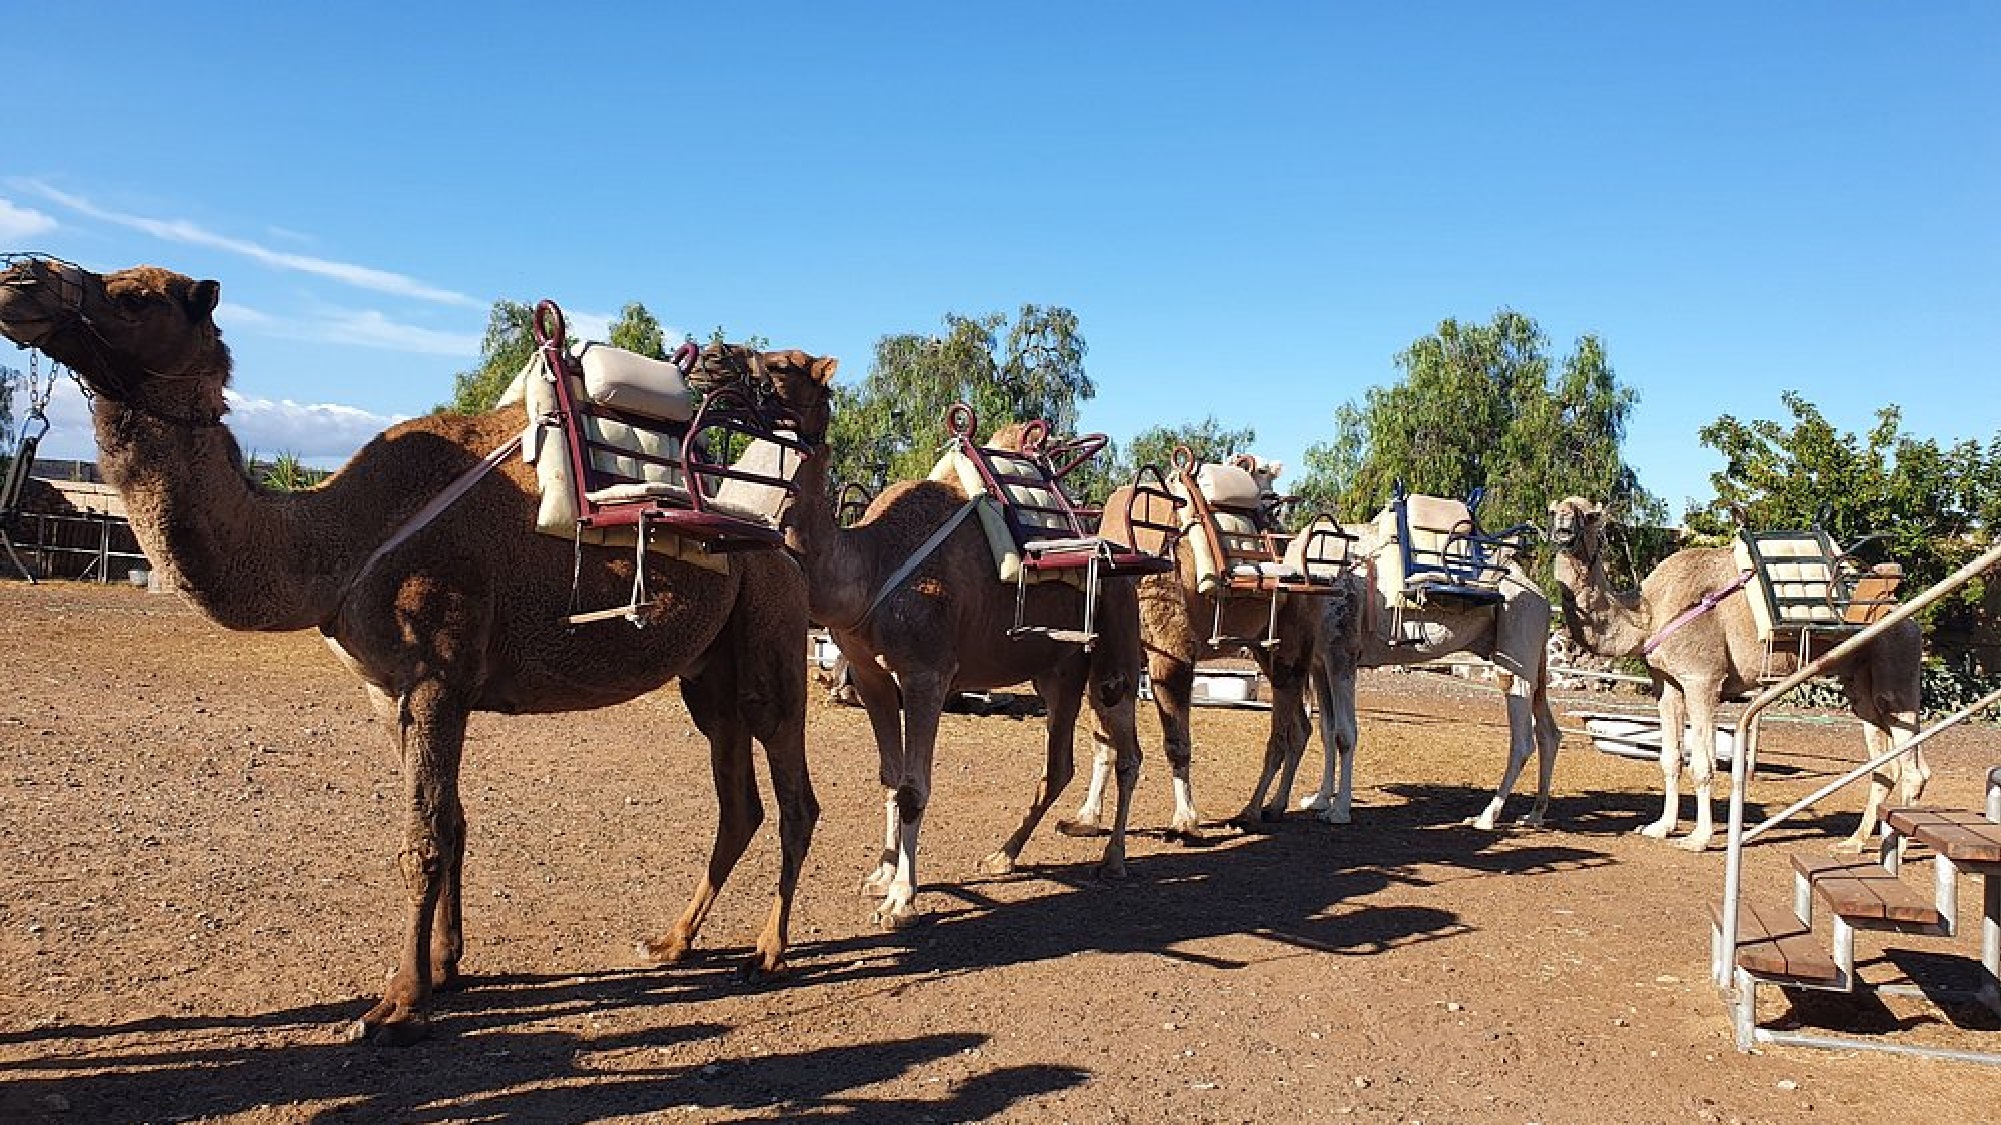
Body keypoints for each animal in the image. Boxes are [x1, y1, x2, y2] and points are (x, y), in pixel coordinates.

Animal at [0, 258, 820, 1044]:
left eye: (135, 296)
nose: (20, 280)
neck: (337, 538)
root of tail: (777, 541)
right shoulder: (387, 689)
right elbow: (451, 821)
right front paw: (446, 968)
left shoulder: (436, 675)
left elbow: (421, 837)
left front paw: (396, 1004)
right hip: (707, 675)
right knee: (737, 802)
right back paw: (673, 941)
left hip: (773, 638)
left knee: (795, 796)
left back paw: (766, 953)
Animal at [1267, 512, 1563, 831]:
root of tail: (1542, 597)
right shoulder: (1321, 663)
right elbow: (1327, 730)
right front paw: (1319, 799)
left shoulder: (1342, 655)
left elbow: (1345, 735)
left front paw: (1339, 811)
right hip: (1534, 657)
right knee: (1549, 732)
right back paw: (1534, 815)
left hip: (1516, 648)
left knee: (1522, 739)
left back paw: (1486, 816)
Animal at [1548, 497, 1926, 852]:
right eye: (1553, 510)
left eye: (1590, 516)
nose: (1563, 531)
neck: (1648, 613)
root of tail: (1907, 617)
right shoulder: (1666, 683)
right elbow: (1670, 758)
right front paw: (1660, 827)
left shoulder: (1701, 679)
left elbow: (1703, 763)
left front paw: (1697, 839)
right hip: (1859, 682)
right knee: (1884, 764)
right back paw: (1854, 843)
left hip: (1897, 672)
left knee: (1912, 767)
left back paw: (1900, 848)